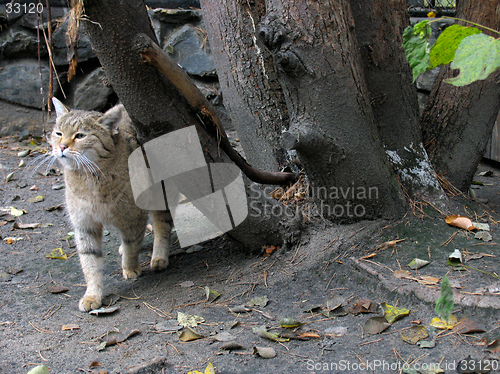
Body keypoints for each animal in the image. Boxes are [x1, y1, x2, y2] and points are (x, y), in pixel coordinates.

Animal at [48, 97, 174, 312]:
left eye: (80, 136)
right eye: (59, 133)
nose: (62, 147)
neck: (88, 179)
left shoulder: (133, 217)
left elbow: (132, 245)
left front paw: (130, 268)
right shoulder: (84, 225)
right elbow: (89, 261)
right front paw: (92, 295)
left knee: (162, 224)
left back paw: (159, 257)